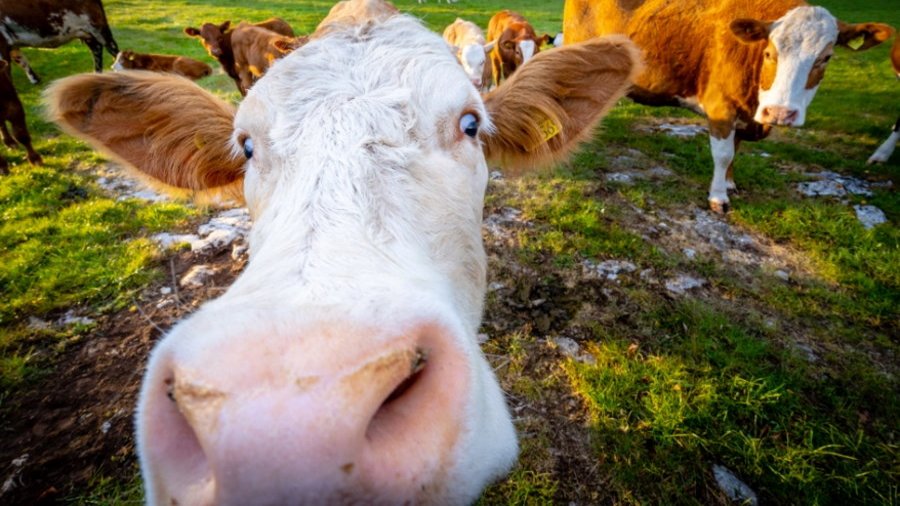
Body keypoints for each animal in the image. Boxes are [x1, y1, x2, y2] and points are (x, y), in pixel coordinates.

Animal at [564, 0, 892, 212]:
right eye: (770, 53)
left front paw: (730, 182)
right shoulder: (721, 108)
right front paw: (718, 196)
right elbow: (722, 154)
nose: (780, 113)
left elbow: (736, 149)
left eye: (825, 58)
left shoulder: (746, 116)